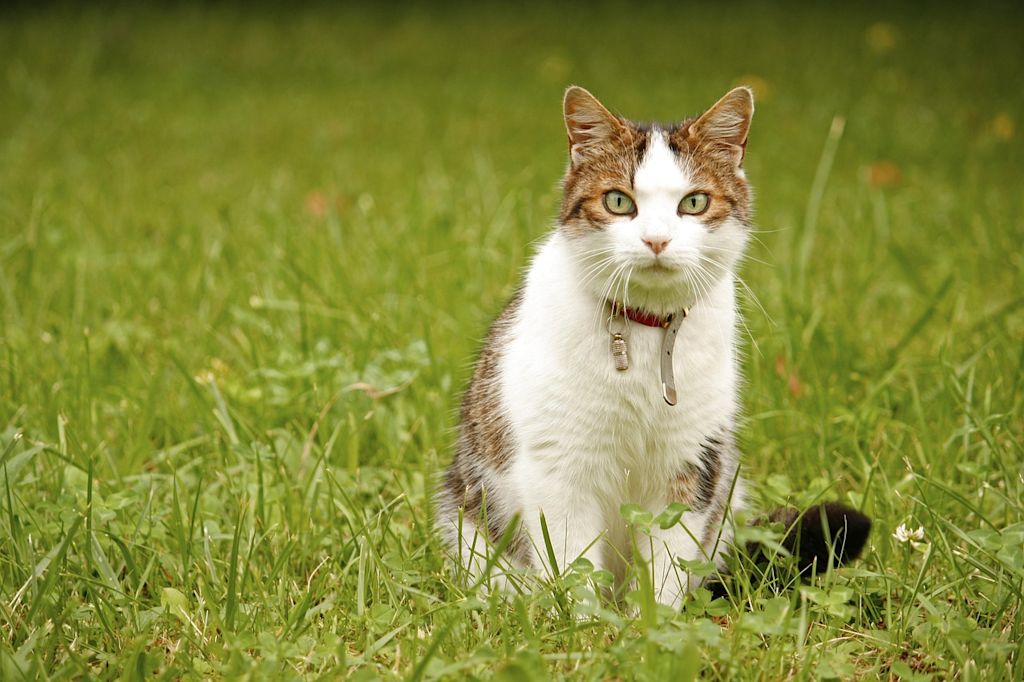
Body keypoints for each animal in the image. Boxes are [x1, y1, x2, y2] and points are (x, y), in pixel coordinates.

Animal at [436, 86, 868, 606]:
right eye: (618, 201)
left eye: (695, 202)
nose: (657, 240)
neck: (645, 332)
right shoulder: (559, 468)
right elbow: (574, 563)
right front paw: (583, 623)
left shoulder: (693, 465)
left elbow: (669, 566)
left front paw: (658, 620)